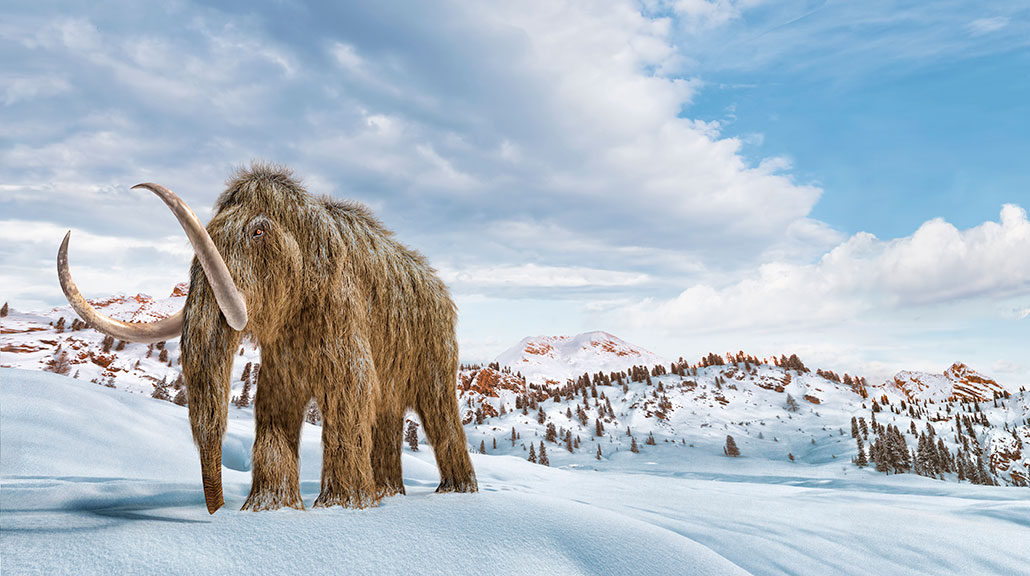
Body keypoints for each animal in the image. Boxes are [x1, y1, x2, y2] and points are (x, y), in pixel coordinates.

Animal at [58, 163, 477, 513]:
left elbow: (350, 391)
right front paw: (269, 508)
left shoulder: (343, 313)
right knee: (386, 412)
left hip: (435, 348)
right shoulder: (282, 349)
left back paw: (455, 492)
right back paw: (389, 493)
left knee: (439, 411)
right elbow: (275, 401)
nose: (217, 511)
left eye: (257, 231)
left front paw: (342, 506)